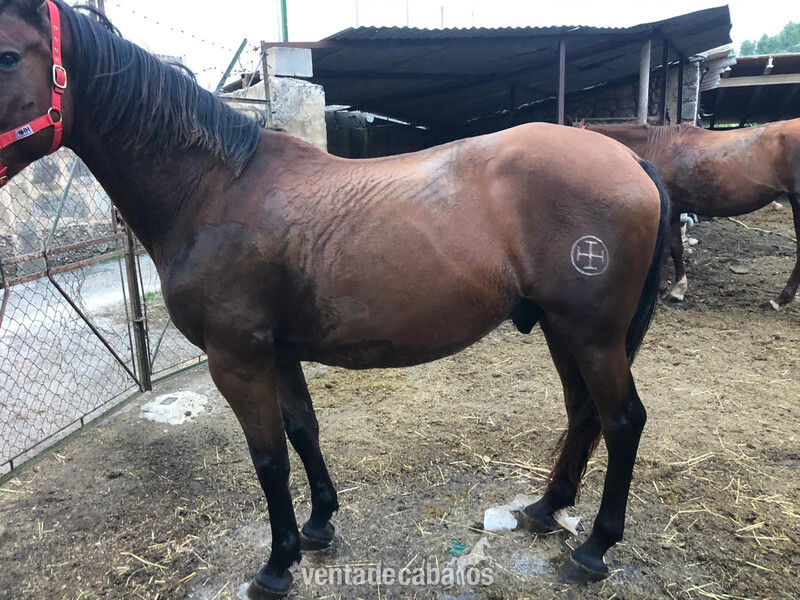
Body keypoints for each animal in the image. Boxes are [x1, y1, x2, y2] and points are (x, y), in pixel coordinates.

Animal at [0, 1, 670, 595]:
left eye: (7, 55)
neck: (213, 191)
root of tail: (632, 161)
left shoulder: (236, 359)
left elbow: (268, 457)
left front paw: (277, 566)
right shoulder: (276, 352)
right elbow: (303, 430)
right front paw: (318, 525)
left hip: (592, 335)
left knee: (622, 420)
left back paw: (593, 549)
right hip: (563, 330)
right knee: (583, 413)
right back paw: (545, 508)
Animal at [579, 121, 800, 310]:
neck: (654, 148)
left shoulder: (670, 211)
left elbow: (671, 248)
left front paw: (671, 290)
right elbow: (674, 247)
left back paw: (778, 300)